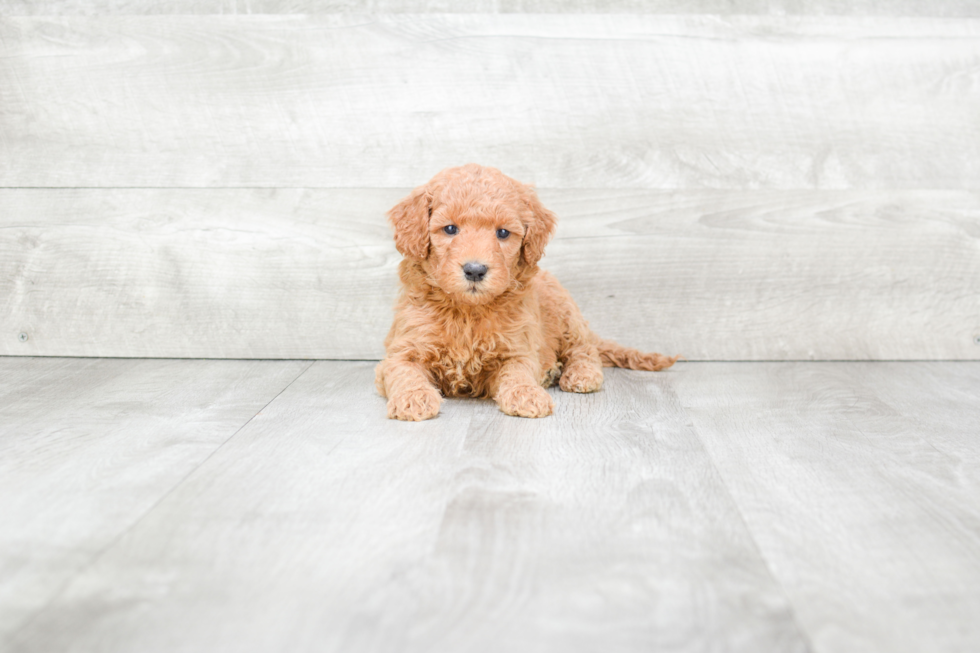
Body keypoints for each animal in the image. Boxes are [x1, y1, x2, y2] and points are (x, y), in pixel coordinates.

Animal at [372, 161, 676, 420]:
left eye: (503, 233)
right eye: (449, 229)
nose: (475, 270)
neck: (467, 312)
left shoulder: (517, 348)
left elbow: (518, 372)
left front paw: (527, 394)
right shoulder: (402, 349)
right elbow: (404, 372)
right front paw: (413, 398)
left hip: (567, 314)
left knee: (584, 349)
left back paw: (581, 375)